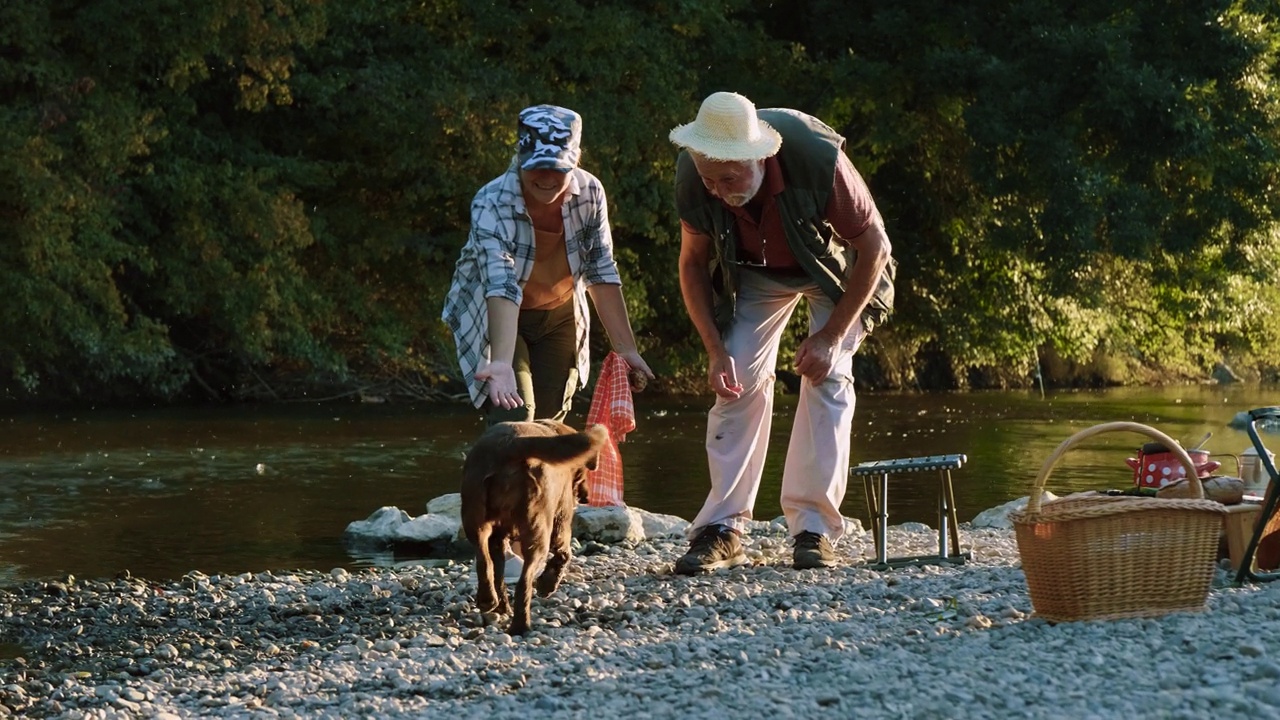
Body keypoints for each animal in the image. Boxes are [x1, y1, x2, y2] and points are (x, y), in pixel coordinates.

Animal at [458, 417, 606, 630]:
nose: (586, 496)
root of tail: (510, 444)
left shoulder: (497, 538)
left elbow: (498, 572)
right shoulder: (561, 518)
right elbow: (564, 553)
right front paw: (547, 584)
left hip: (475, 521)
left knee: (485, 562)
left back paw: (490, 602)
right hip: (539, 529)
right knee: (524, 581)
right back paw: (521, 625)